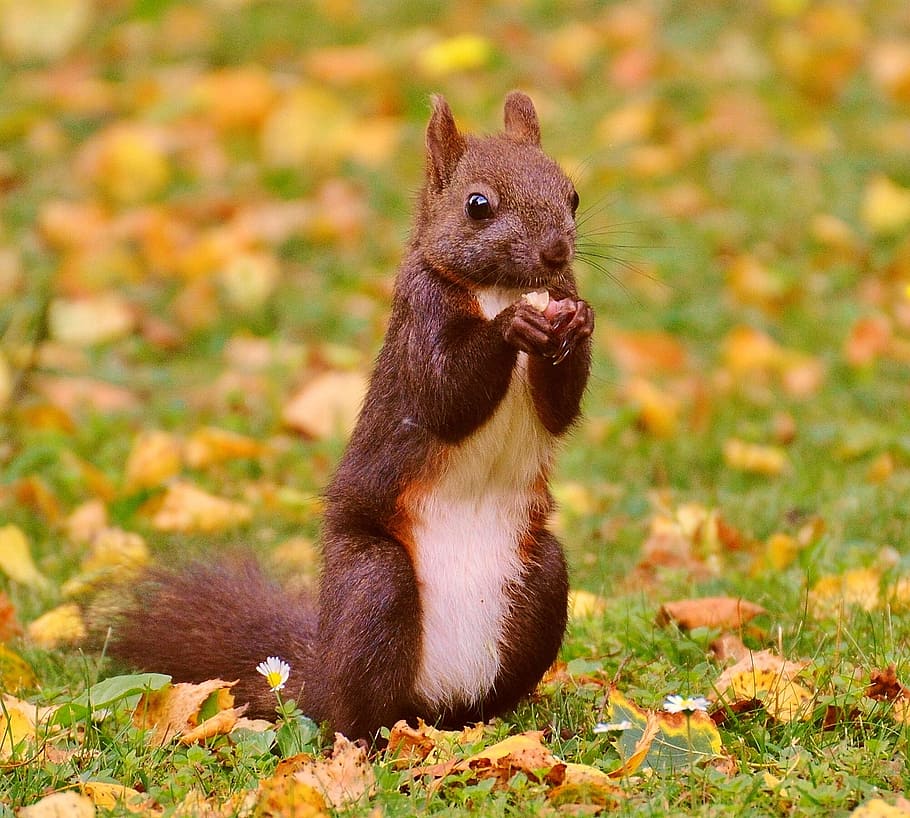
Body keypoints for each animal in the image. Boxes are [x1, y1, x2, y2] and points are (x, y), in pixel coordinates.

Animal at [110, 91, 594, 741]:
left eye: (573, 195)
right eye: (478, 205)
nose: (555, 252)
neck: (499, 288)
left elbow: (559, 409)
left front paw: (579, 320)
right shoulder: (418, 318)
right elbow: (444, 396)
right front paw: (511, 326)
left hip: (541, 578)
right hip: (374, 586)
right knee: (355, 709)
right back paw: (366, 742)